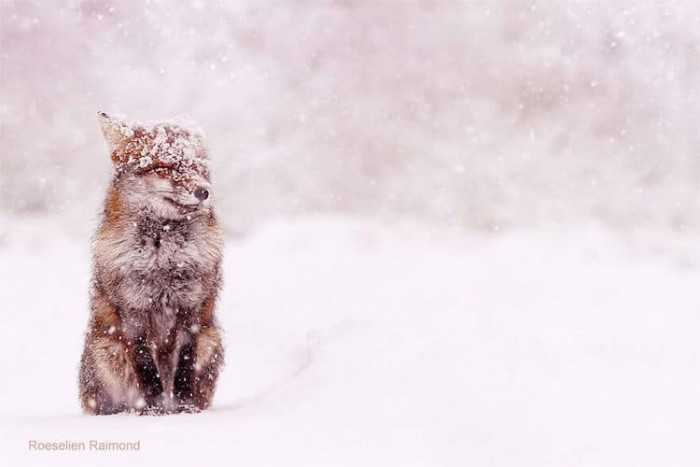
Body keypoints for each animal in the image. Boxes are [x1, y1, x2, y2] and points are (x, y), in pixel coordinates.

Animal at [79, 112, 224, 415]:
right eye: (164, 166)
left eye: (198, 166)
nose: (203, 192)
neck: (162, 257)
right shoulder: (132, 309)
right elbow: (145, 365)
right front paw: (153, 411)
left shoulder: (190, 307)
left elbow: (184, 363)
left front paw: (183, 407)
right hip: (106, 351)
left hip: (212, 339)